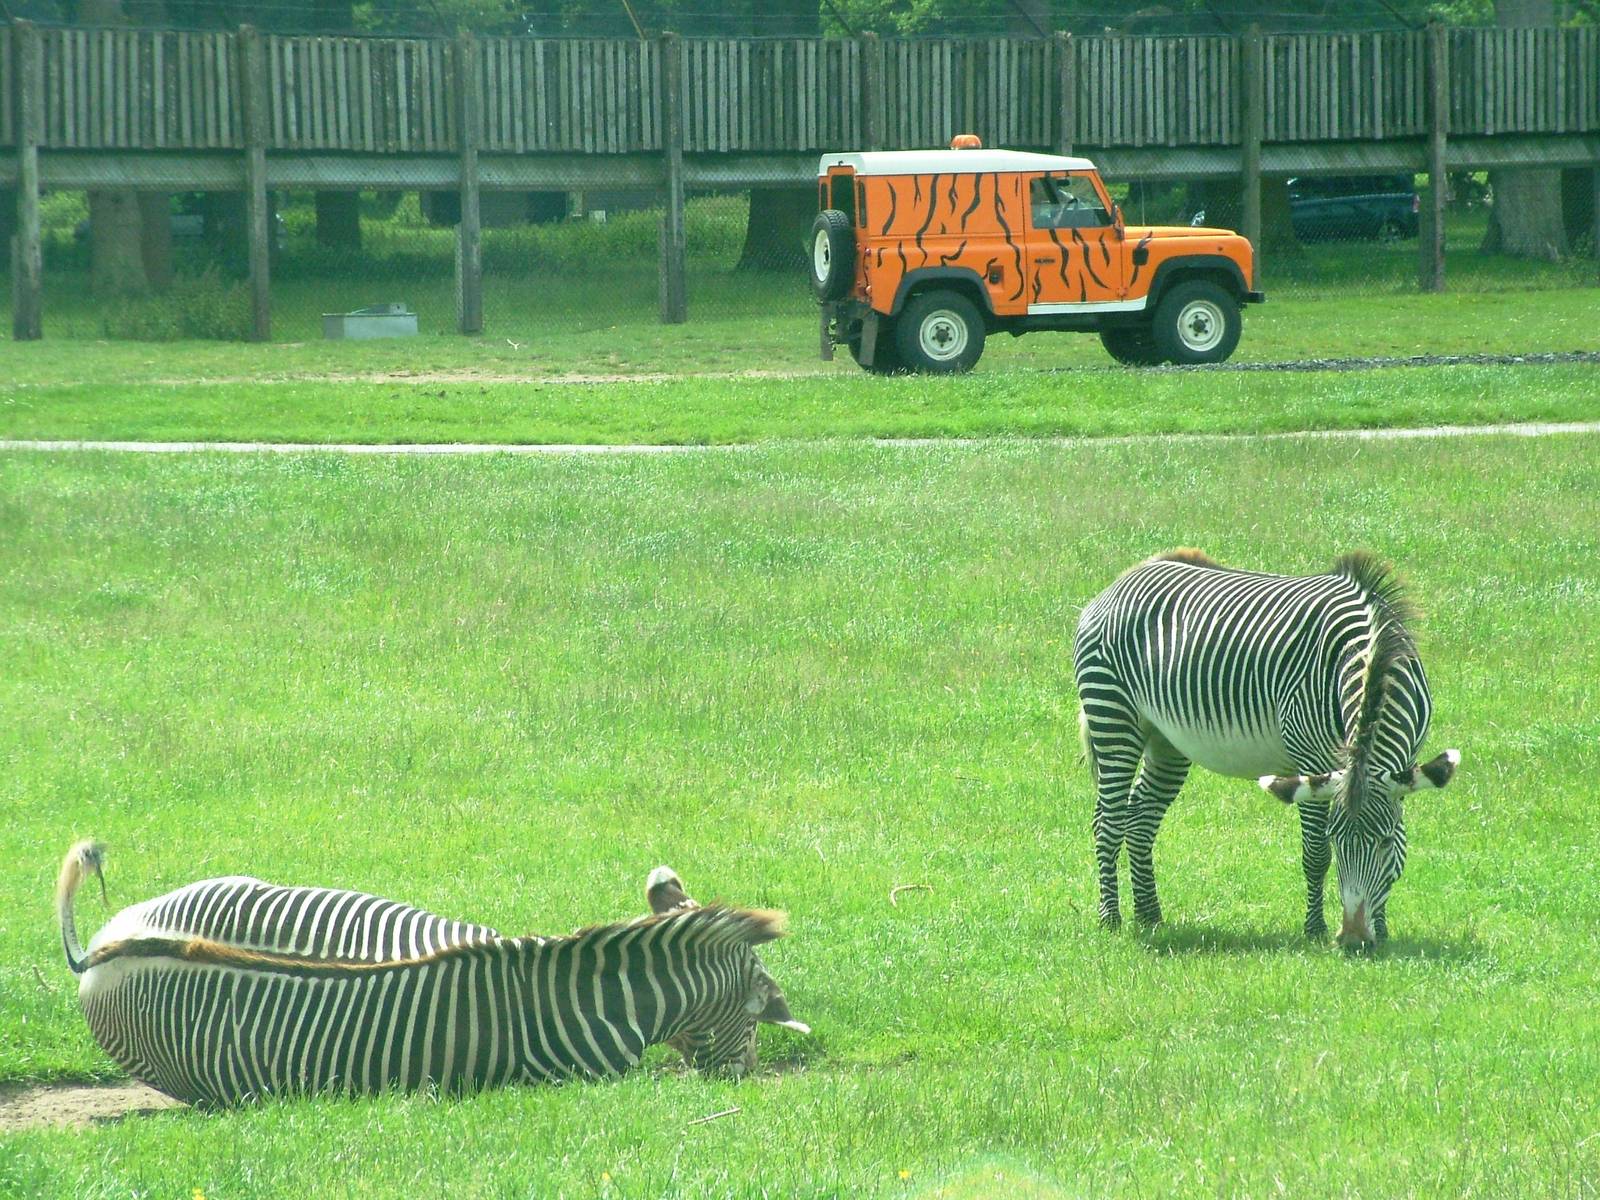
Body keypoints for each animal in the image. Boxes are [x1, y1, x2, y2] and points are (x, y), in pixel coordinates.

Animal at [1073, 549, 1460, 947]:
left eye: (1384, 842)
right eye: (1337, 840)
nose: (1353, 940)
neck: (1375, 657)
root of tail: (1129, 574)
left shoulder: (1406, 759)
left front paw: (1381, 930)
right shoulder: (1311, 759)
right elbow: (1314, 854)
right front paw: (1314, 930)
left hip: (1166, 740)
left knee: (1141, 817)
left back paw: (1150, 915)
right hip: (1112, 714)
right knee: (1109, 819)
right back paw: (1111, 919)